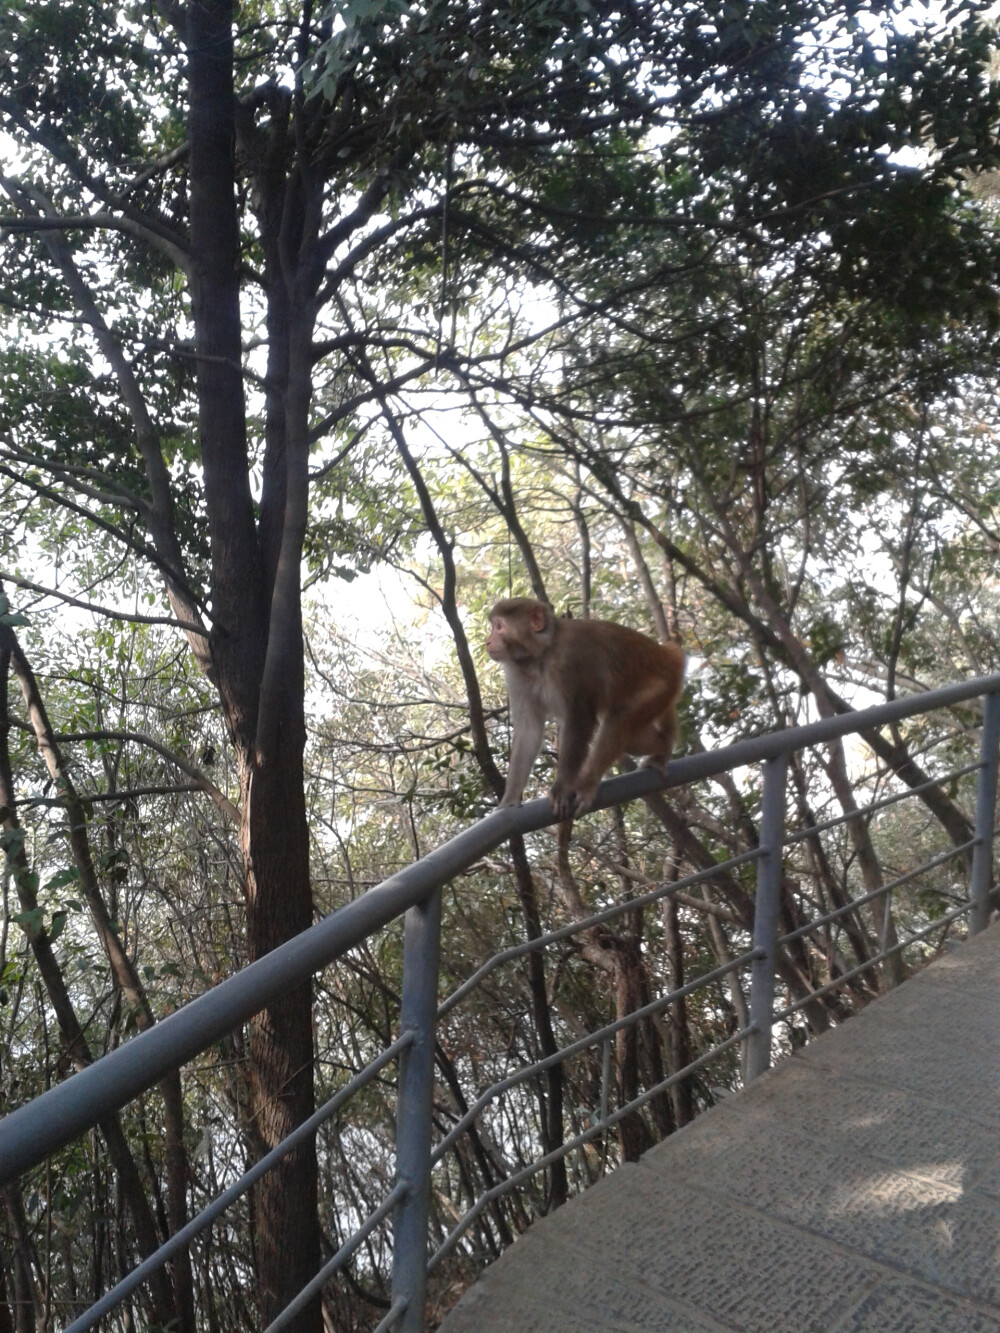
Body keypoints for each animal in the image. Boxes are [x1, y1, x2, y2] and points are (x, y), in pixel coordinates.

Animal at [488, 597, 688, 821]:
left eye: (499, 626)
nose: (488, 642)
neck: (542, 654)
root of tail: (668, 656)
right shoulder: (517, 673)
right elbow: (528, 732)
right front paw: (509, 801)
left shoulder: (571, 660)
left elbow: (579, 720)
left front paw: (563, 787)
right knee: (632, 739)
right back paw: (663, 746)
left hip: (659, 688)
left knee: (620, 720)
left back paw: (589, 784)